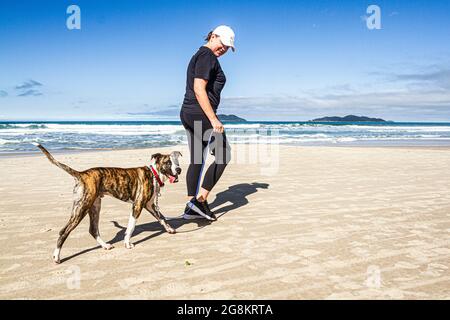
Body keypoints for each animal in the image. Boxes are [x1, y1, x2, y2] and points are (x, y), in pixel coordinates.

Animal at [33, 144, 183, 264]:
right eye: (168, 162)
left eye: (176, 161)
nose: (179, 170)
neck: (154, 175)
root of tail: (82, 174)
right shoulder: (137, 205)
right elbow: (131, 227)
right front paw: (127, 243)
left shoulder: (150, 205)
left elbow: (162, 218)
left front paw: (169, 229)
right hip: (82, 207)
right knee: (64, 231)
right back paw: (56, 256)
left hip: (95, 207)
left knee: (93, 229)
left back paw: (105, 245)